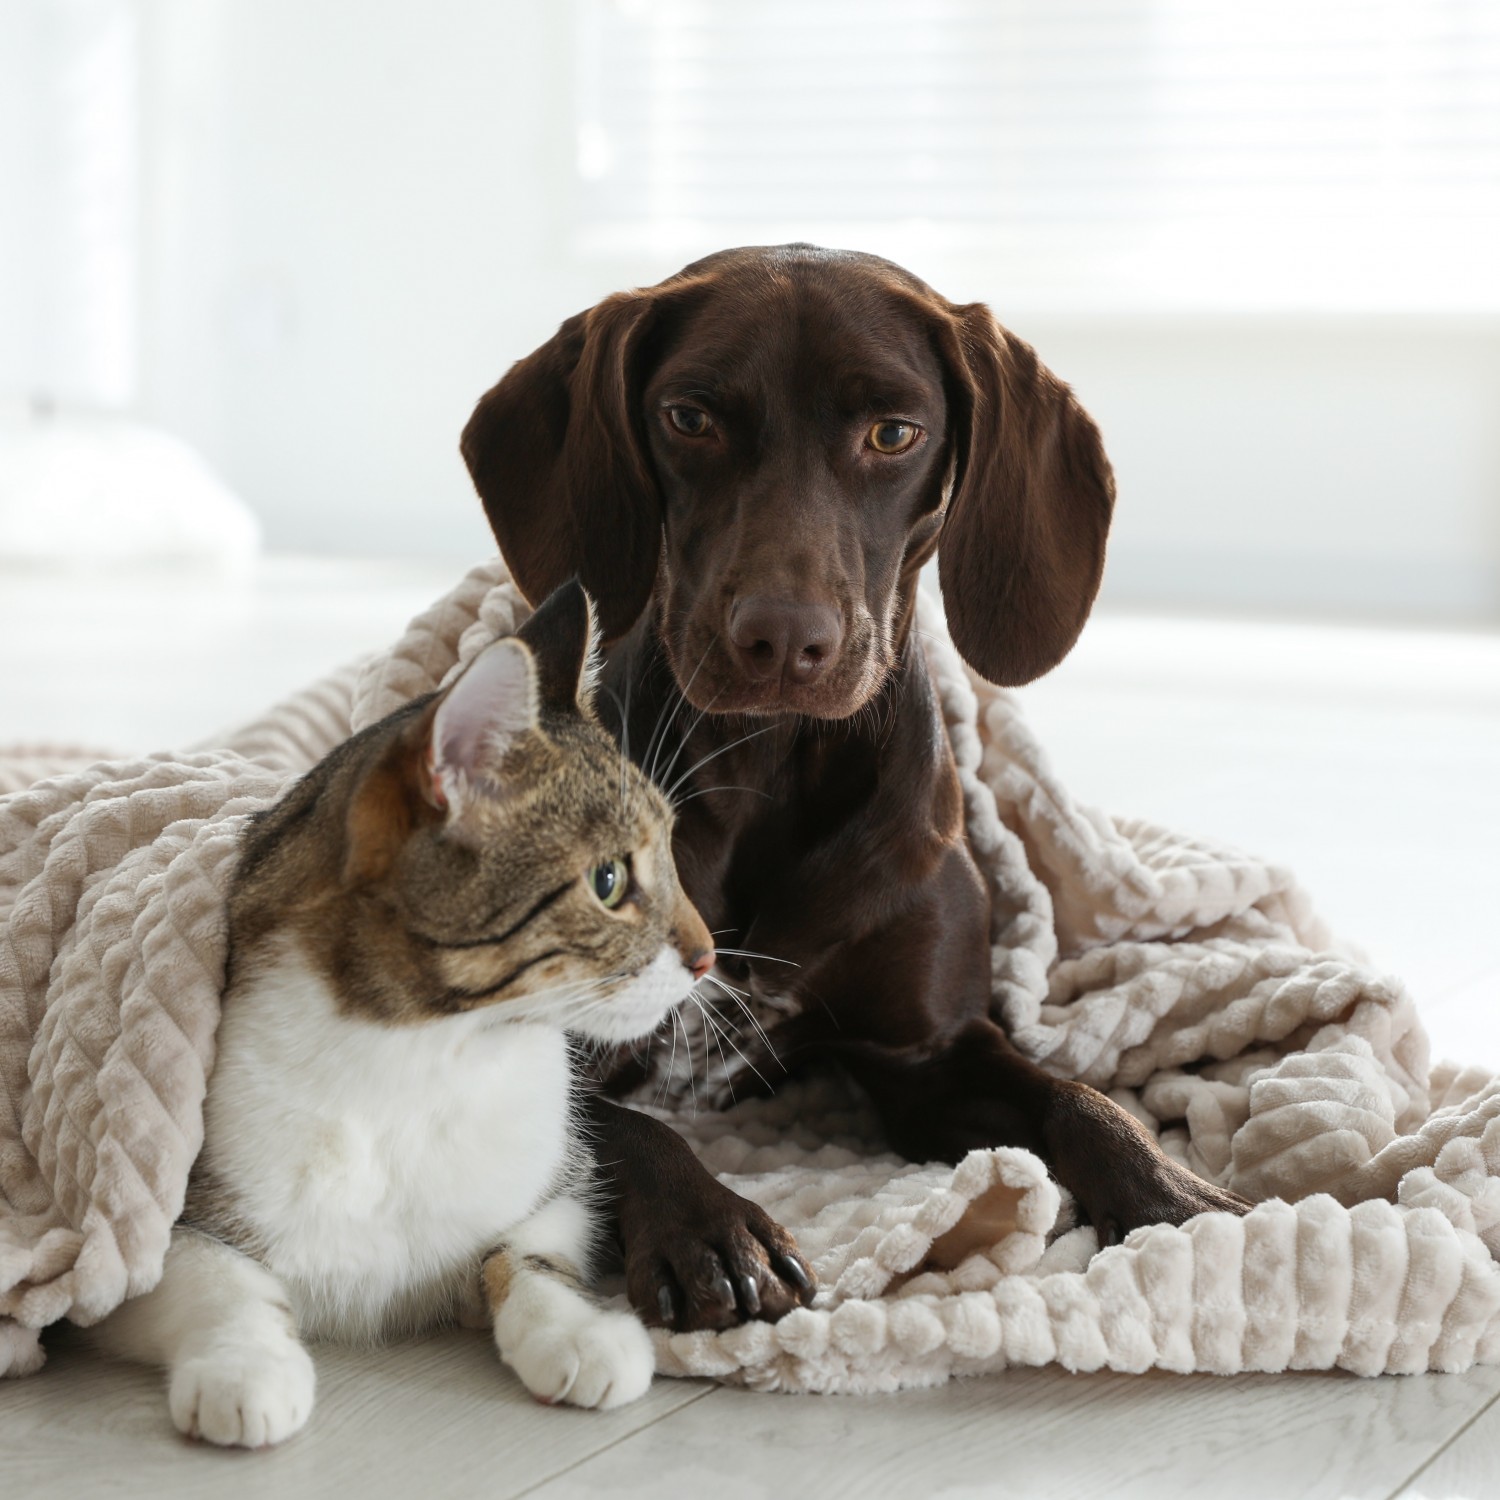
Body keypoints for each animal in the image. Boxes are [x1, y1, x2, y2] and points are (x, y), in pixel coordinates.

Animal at [92, 579, 714, 1446]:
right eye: (610, 881)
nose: (709, 955)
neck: (429, 1058)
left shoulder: (556, 1183)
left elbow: (527, 1254)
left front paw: (577, 1332)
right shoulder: (140, 1239)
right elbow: (218, 1278)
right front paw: (245, 1368)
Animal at [456, 246, 1242, 1338]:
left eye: (894, 433)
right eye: (689, 417)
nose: (783, 639)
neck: (771, 767)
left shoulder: (926, 1059)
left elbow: (1077, 1101)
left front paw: (1173, 1190)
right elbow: (623, 1129)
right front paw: (712, 1227)